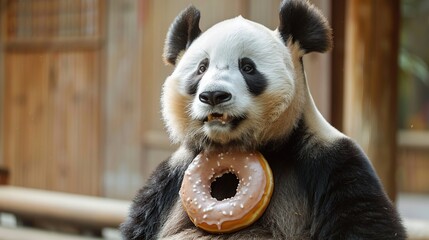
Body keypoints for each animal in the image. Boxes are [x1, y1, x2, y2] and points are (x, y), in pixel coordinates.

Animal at [119, 0, 404, 240]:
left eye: (247, 67)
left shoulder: (331, 161)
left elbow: (362, 220)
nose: (213, 95)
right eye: (201, 68)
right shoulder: (169, 179)